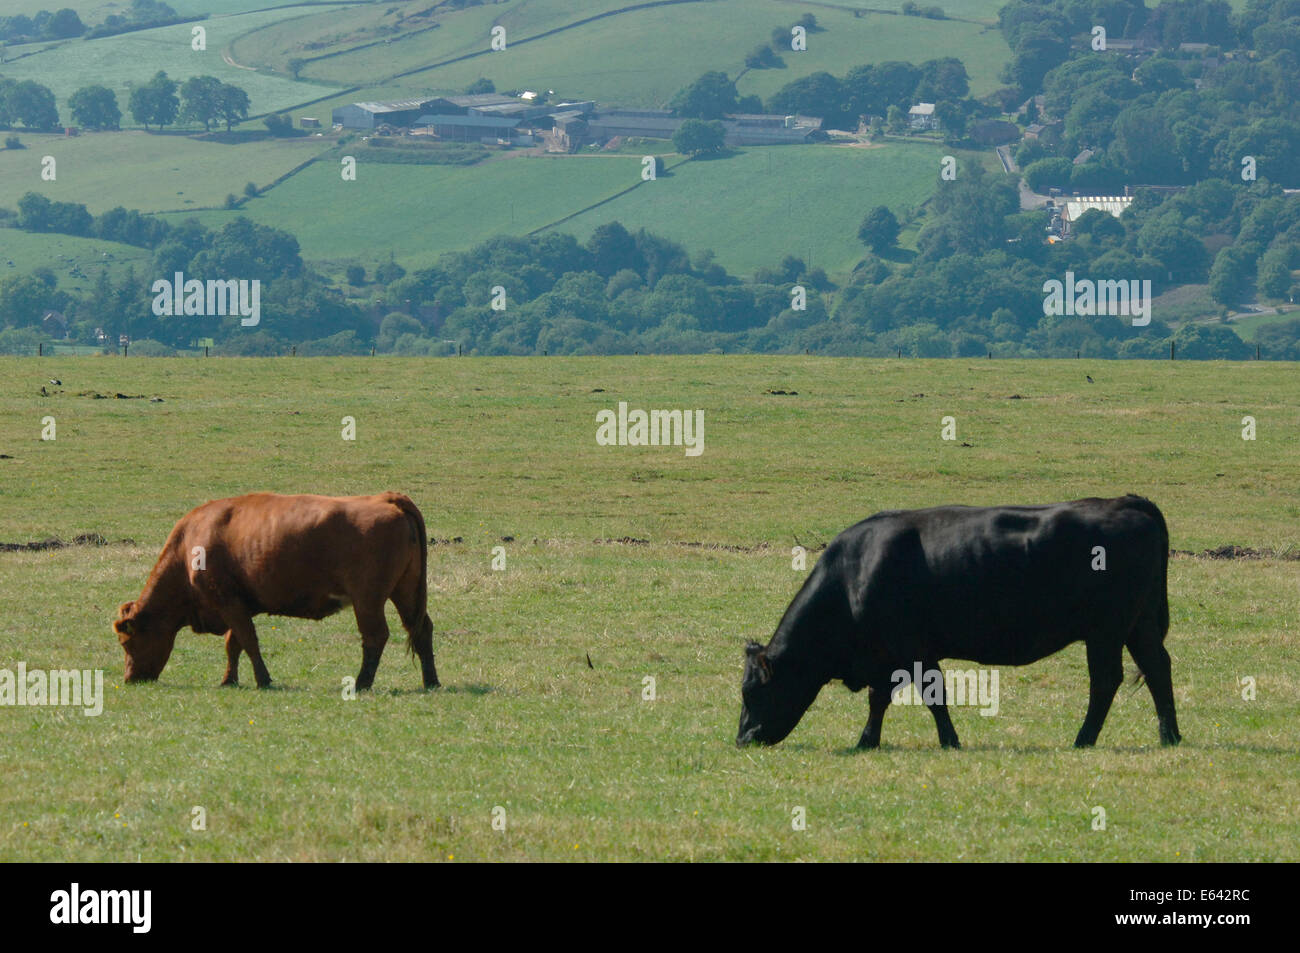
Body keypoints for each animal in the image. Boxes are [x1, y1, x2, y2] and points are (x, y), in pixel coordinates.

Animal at [113, 492, 439, 691]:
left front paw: (263, 679)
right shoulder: (238, 605)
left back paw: (361, 683)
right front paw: (229, 680)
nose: (130, 679)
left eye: (127, 642)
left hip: (368, 601)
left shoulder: (229, 602)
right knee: (422, 629)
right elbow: (234, 644)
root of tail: (386, 499)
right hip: (405, 593)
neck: (189, 546)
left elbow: (248, 641)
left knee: (375, 637)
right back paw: (431, 682)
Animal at [737, 495, 1179, 750]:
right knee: (1158, 668)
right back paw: (1169, 735)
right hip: (1138, 625)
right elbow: (880, 699)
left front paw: (949, 741)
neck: (854, 574)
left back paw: (1083, 739)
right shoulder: (888, 656)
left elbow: (934, 696)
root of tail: (1125, 501)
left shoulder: (913, 649)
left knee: (1106, 680)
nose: (743, 739)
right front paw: (867, 741)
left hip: (1106, 631)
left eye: (752, 691)